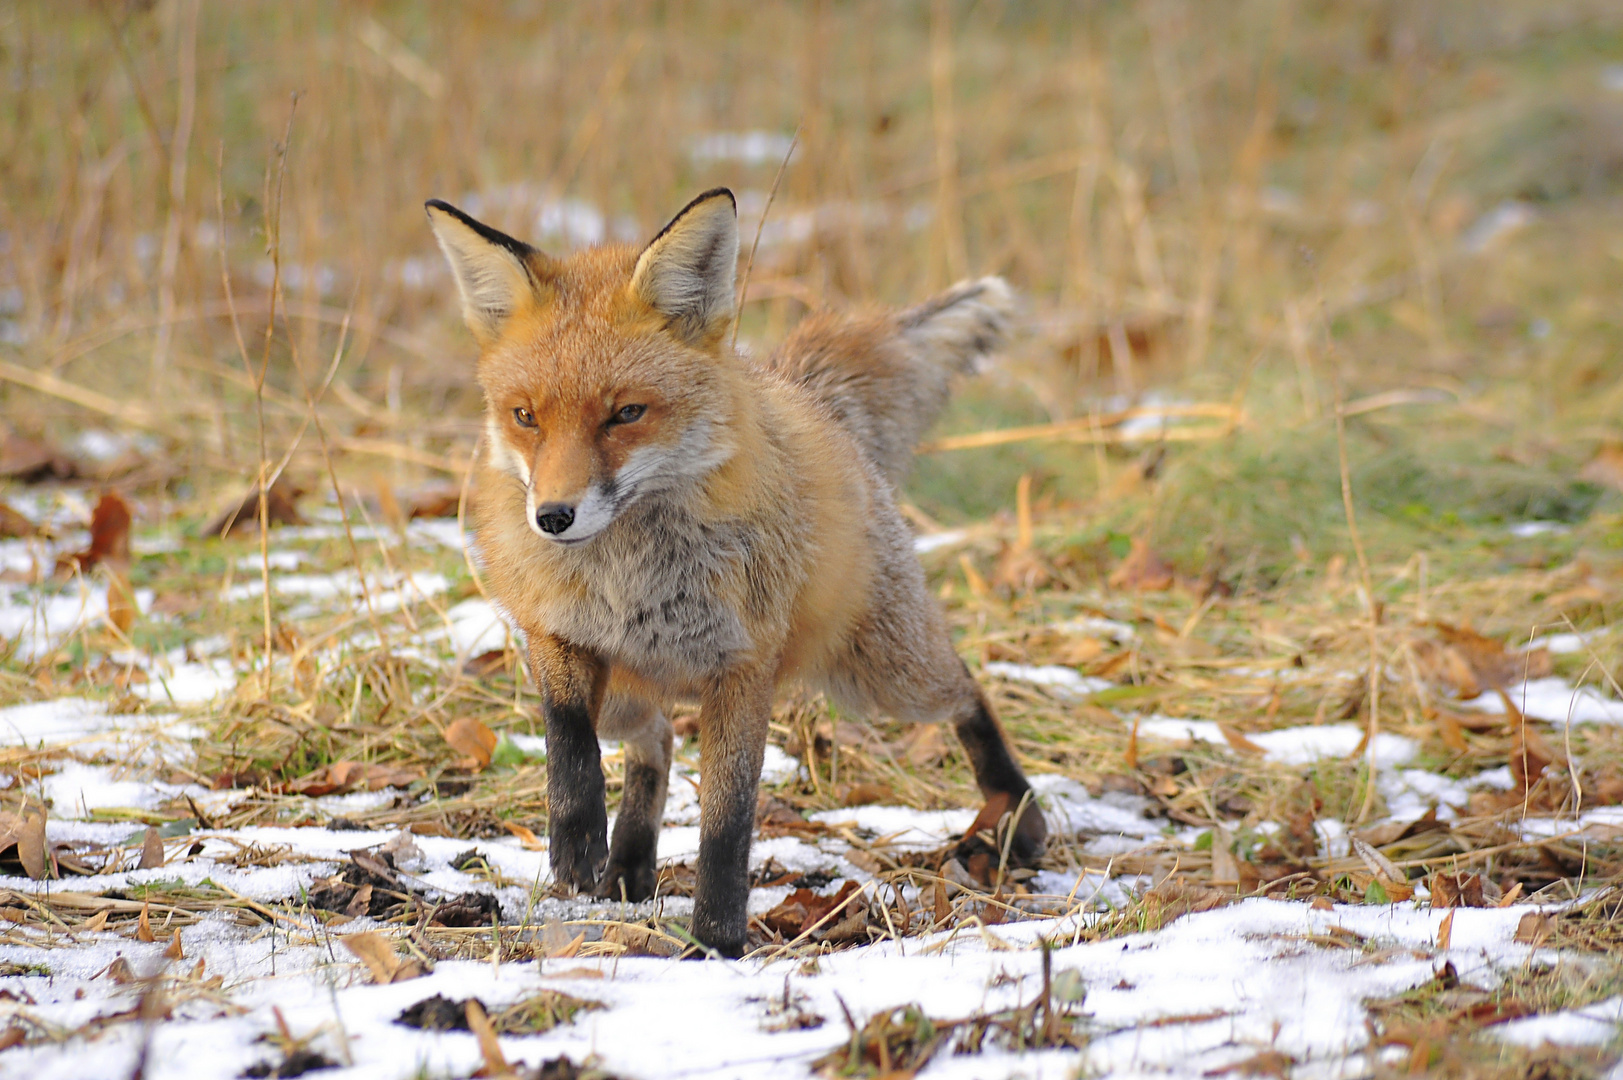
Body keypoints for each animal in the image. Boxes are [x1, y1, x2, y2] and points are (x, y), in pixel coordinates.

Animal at [425, 189, 1045, 954]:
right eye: (524, 417)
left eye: (626, 414)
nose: (553, 517)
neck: (631, 579)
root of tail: (807, 401)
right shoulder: (556, 636)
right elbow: (566, 738)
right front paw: (576, 840)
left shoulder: (743, 671)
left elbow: (727, 823)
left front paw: (716, 943)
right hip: (627, 696)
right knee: (655, 742)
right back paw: (627, 863)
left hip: (884, 677)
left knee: (966, 690)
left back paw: (1018, 811)